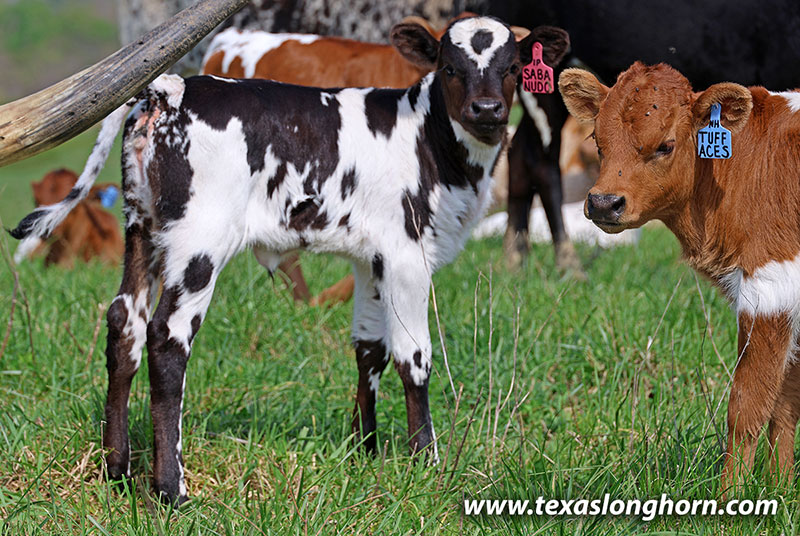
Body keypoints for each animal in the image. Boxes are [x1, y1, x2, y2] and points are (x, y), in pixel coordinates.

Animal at [11, 16, 570, 505]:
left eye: (514, 67)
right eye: (451, 68)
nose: (487, 109)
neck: (429, 142)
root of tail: (170, 86)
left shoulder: (371, 259)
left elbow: (369, 349)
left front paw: (365, 451)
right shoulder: (407, 254)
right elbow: (414, 357)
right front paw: (425, 462)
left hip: (141, 228)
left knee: (124, 322)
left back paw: (117, 470)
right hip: (199, 242)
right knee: (167, 338)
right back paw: (170, 489)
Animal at [559, 61, 800, 491]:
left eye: (666, 145)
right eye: (598, 143)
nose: (603, 202)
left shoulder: (772, 286)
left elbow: (748, 407)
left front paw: (731, 499)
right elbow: (785, 403)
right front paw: (781, 489)